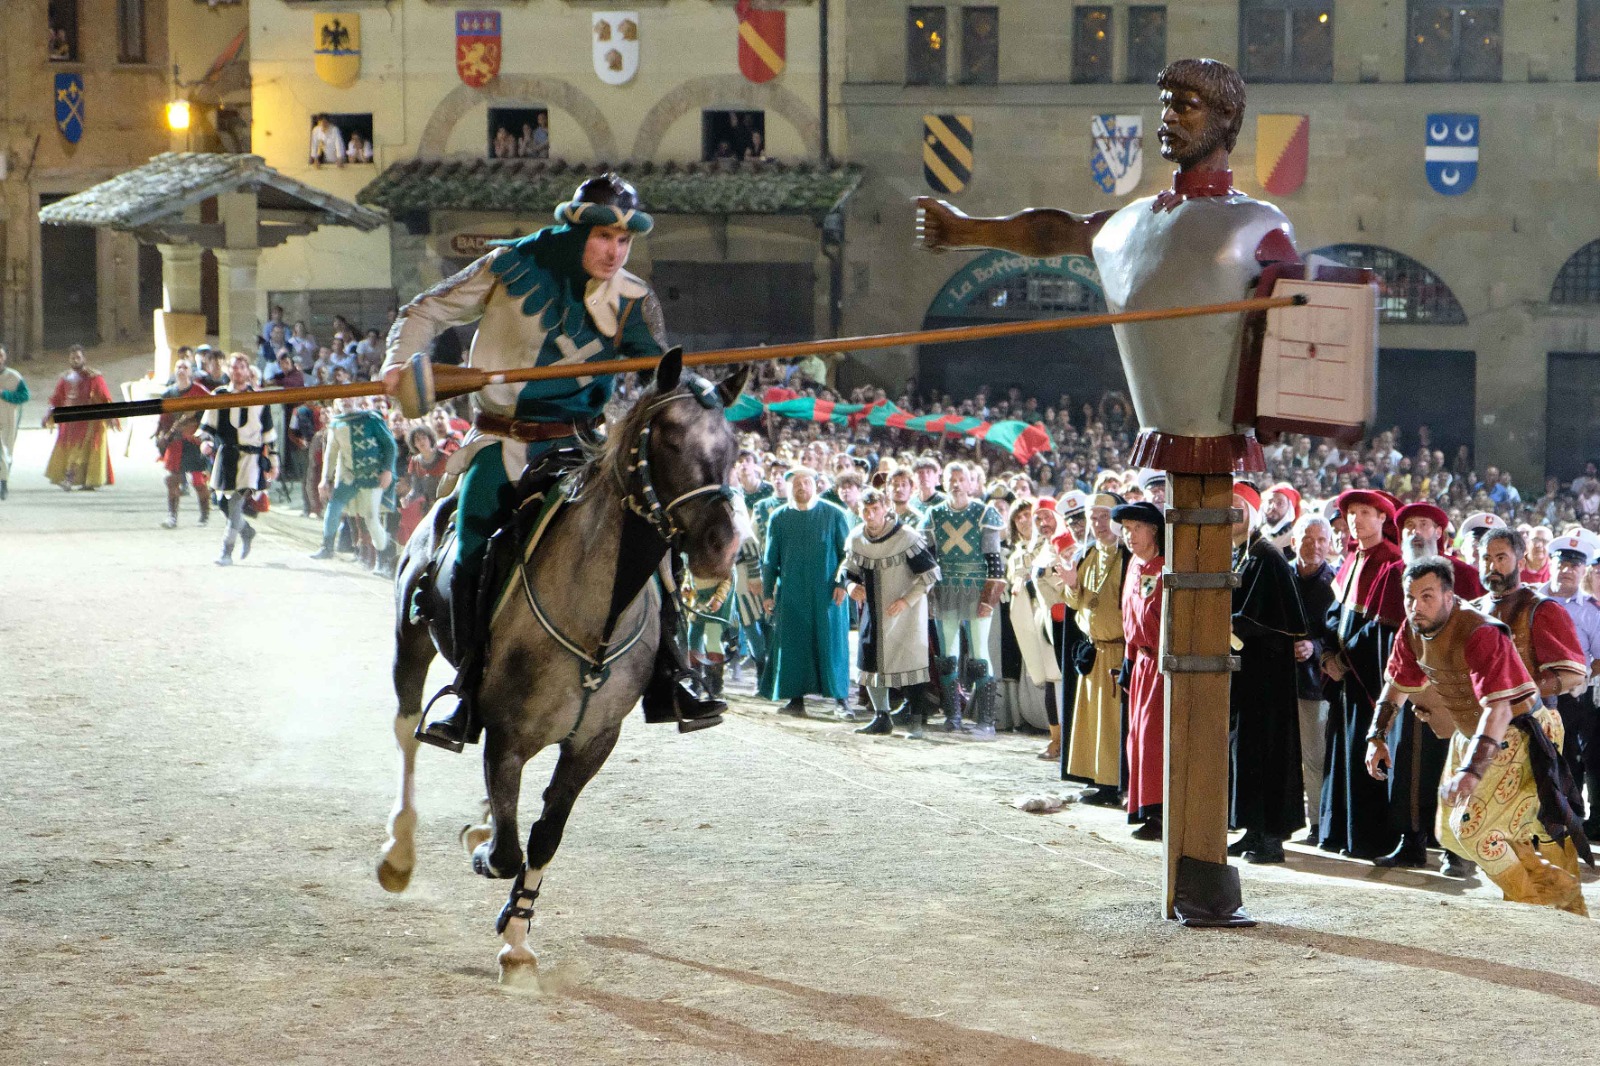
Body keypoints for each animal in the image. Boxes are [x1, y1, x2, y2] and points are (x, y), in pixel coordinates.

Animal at [377, 352, 745, 985]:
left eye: (734, 445)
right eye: (670, 439)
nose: (723, 546)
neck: (594, 615)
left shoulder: (592, 742)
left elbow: (544, 836)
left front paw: (517, 939)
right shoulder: (507, 735)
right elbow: (507, 851)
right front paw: (488, 864)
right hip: (412, 639)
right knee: (405, 732)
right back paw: (400, 852)